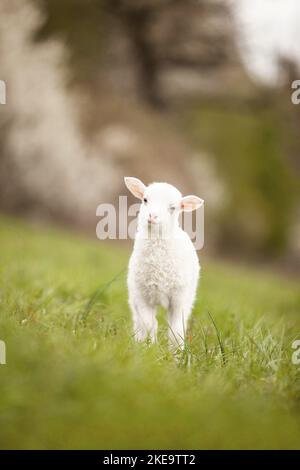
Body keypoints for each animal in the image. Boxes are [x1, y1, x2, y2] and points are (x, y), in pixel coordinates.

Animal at [124, 177, 204, 348]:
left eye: (173, 208)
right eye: (145, 199)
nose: (152, 216)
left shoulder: (179, 299)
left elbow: (176, 331)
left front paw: (176, 353)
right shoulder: (142, 296)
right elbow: (149, 325)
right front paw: (149, 347)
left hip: (189, 295)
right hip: (134, 295)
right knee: (138, 322)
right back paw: (138, 342)